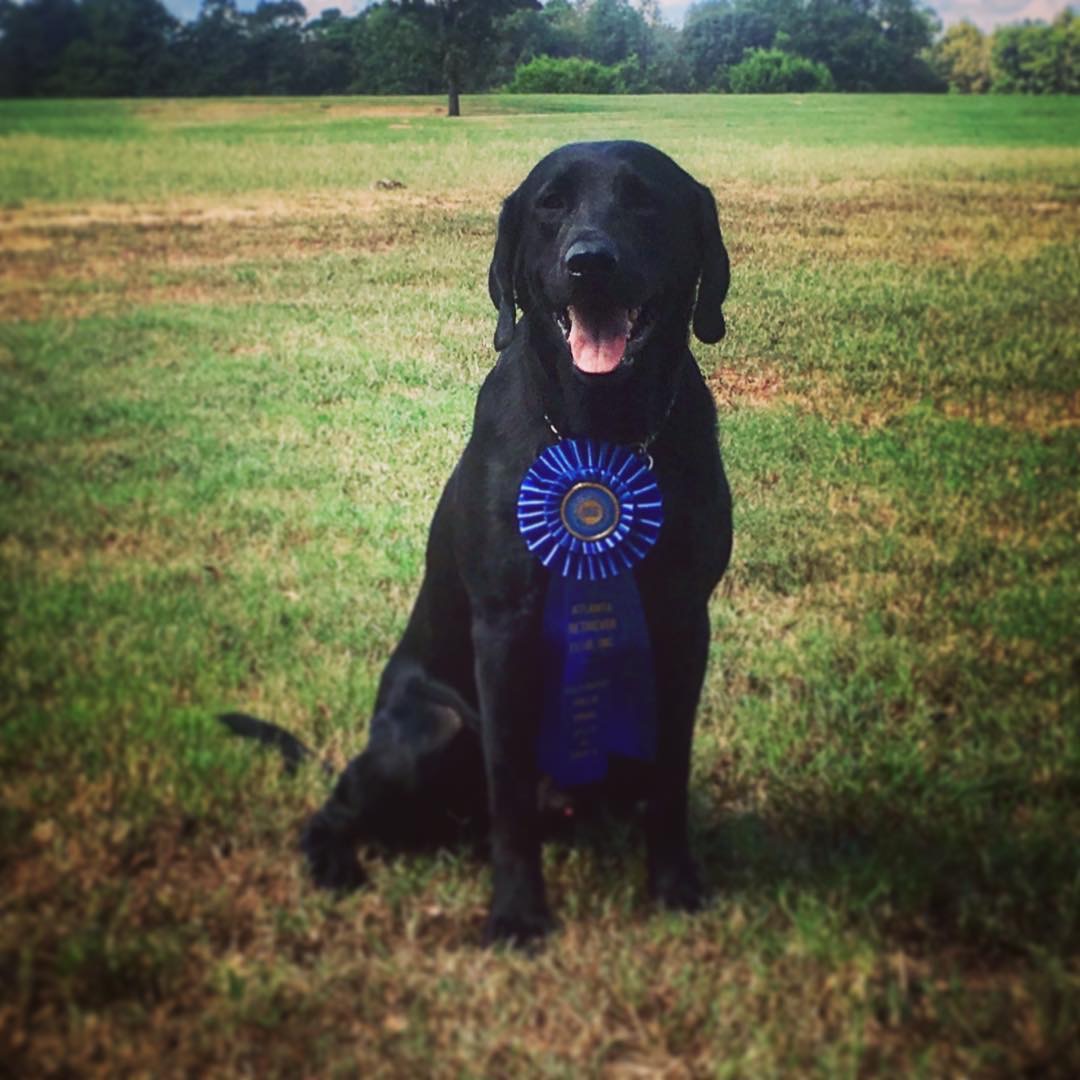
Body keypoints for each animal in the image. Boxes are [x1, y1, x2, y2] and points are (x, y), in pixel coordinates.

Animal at [227, 141, 734, 946]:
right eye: (551, 203)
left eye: (644, 199)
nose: (591, 263)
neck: (600, 429)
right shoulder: (505, 629)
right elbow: (510, 791)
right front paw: (519, 914)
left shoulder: (685, 622)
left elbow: (672, 775)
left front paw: (675, 883)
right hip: (431, 725)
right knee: (340, 808)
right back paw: (333, 861)